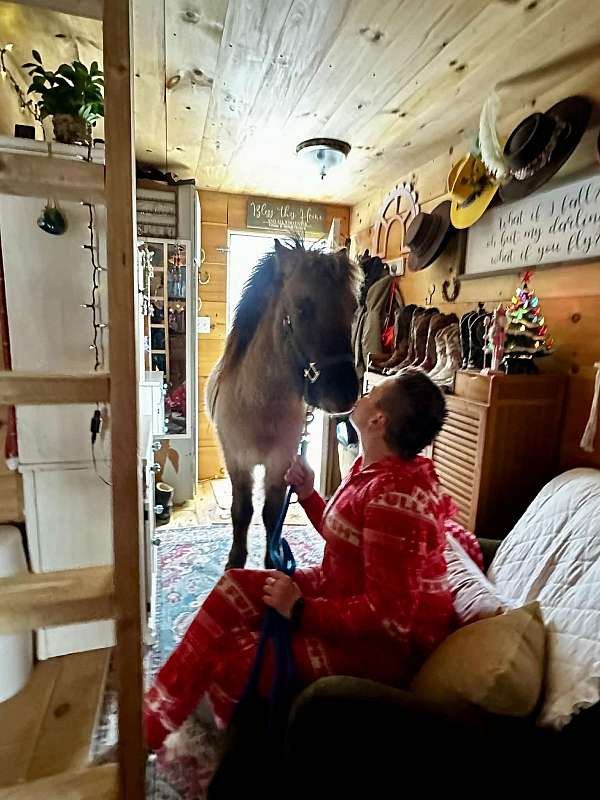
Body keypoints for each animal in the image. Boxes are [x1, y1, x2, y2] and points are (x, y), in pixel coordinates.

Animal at [206, 239, 361, 569]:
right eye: (303, 307)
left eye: (353, 308)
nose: (344, 394)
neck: (260, 404)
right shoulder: (238, 462)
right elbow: (242, 512)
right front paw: (235, 562)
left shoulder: (280, 462)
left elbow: (272, 513)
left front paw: (271, 561)